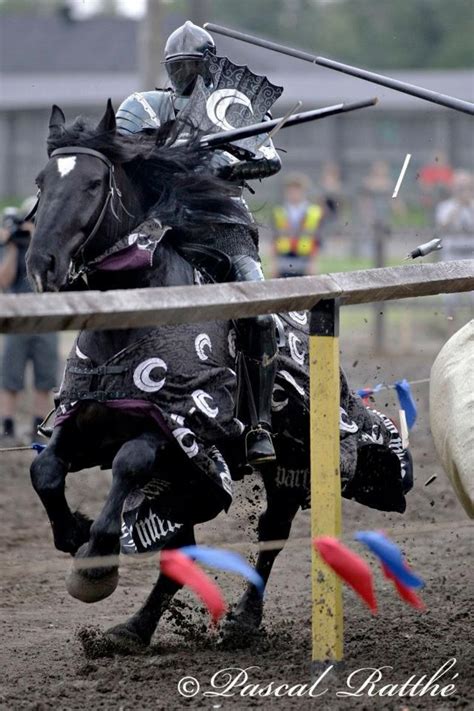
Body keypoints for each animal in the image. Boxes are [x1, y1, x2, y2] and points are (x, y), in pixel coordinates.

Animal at [26, 103, 412, 652]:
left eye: (94, 182)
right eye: (42, 181)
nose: (43, 265)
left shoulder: (184, 432)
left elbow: (129, 461)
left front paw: (96, 561)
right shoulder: (87, 425)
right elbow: (45, 470)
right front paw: (74, 533)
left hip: (289, 461)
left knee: (273, 529)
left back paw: (243, 620)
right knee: (180, 550)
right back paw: (131, 630)